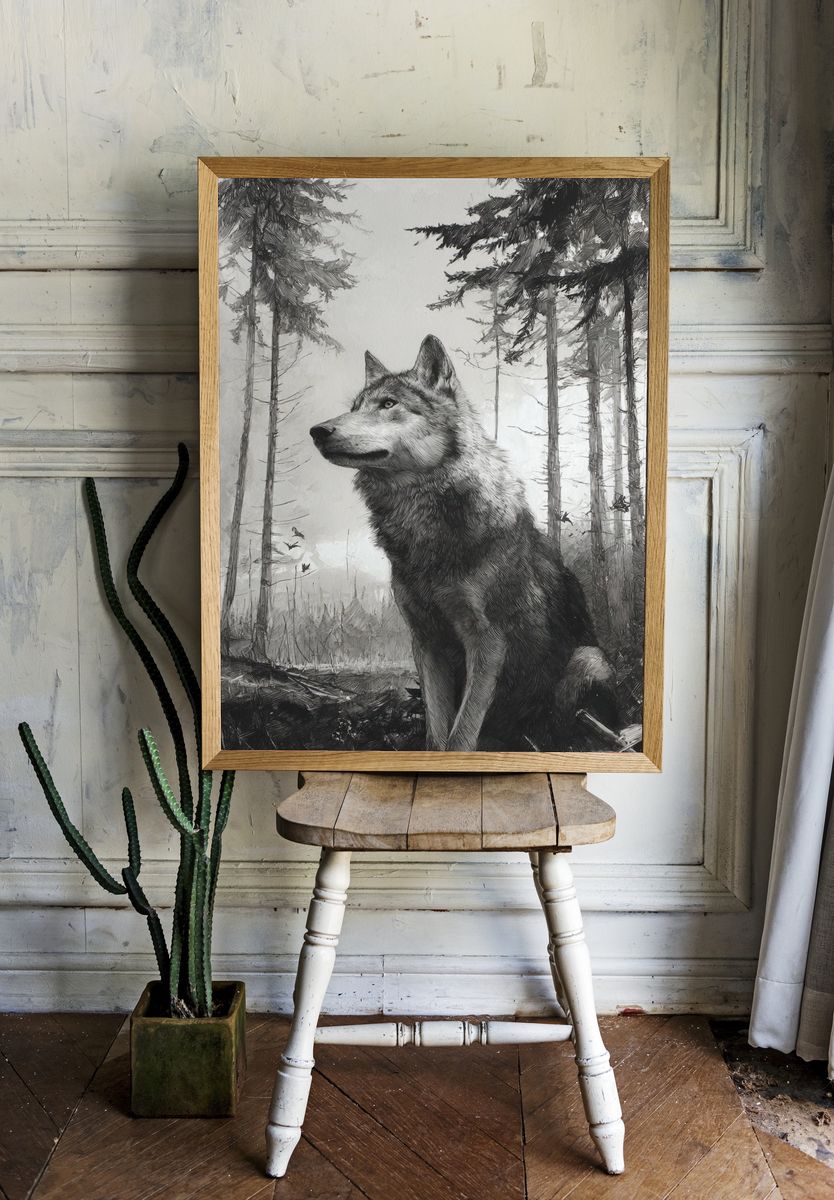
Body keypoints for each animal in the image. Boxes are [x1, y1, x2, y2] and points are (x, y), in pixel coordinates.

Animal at [310, 335, 618, 752]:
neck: (424, 526)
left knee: (560, 727)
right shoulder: (426, 643)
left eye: (389, 404)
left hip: (587, 660)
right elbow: (437, 733)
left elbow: (461, 734)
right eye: (355, 407)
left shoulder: (487, 643)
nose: (318, 430)